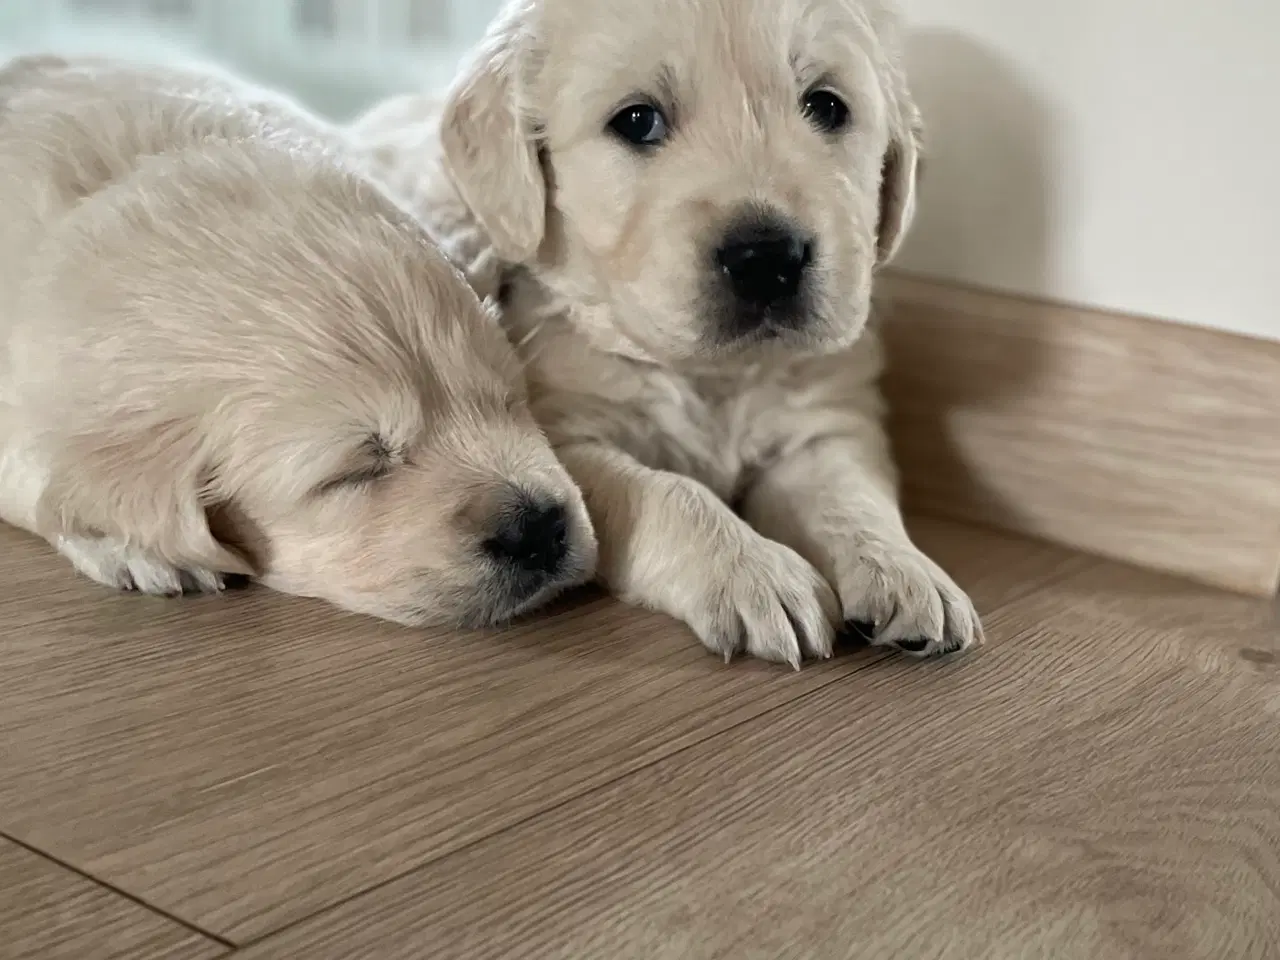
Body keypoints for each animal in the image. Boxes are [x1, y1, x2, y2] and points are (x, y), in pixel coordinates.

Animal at [350, 0, 977, 665]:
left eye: (828, 106)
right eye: (637, 121)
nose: (768, 258)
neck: (711, 376)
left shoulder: (823, 427)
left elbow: (851, 495)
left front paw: (904, 569)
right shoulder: (565, 440)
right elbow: (667, 491)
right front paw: (755, 569)